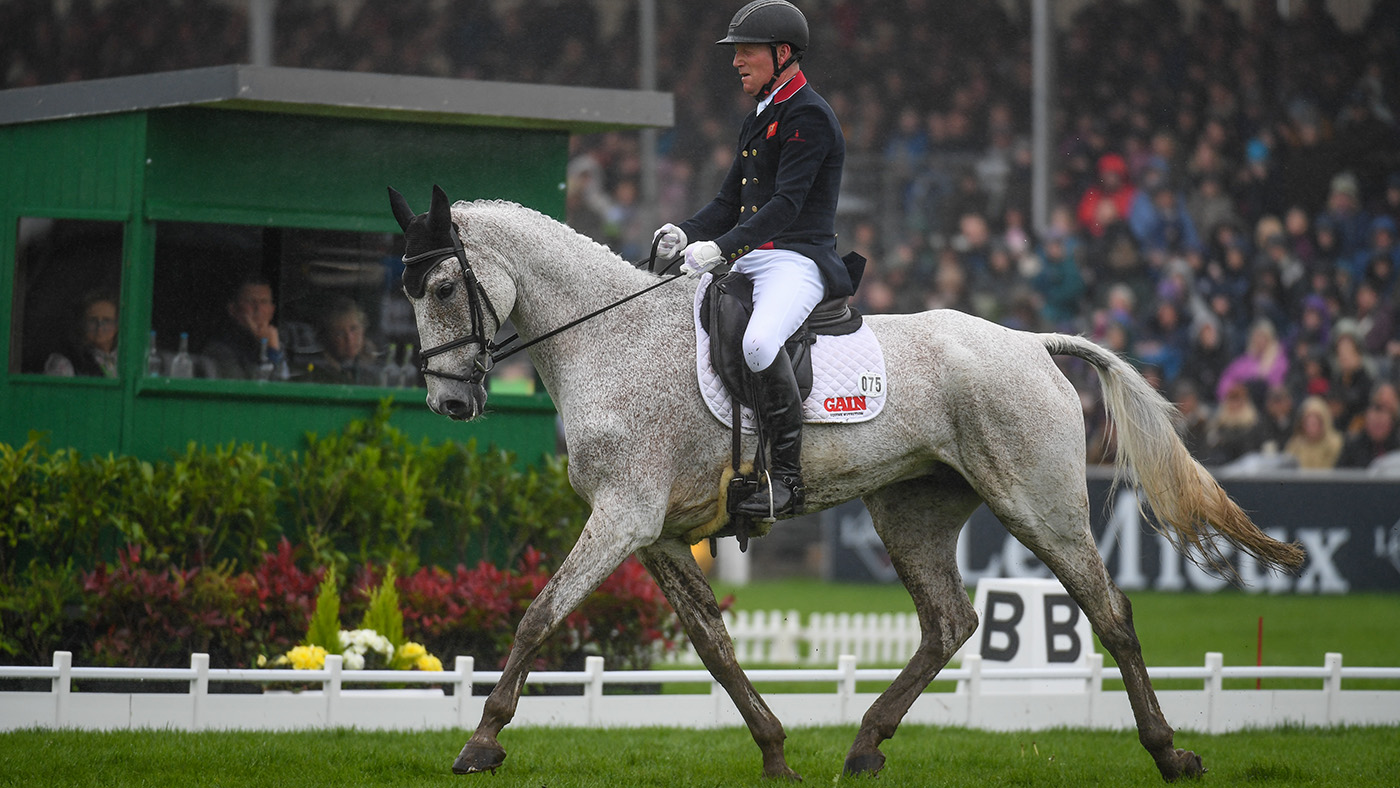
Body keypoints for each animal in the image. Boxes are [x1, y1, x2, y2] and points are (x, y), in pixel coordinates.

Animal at [387, 185, 1305, 782]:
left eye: (443, 286)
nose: (450, 402)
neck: (611, 339)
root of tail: (1030, 342)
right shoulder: (656, 533)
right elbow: (713, 645)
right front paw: (774, 751)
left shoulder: (622, 518)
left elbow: (539, 616)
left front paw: (480, 743)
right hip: (911, 511)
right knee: (950, 622)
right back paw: (864, 746)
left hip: (1038, 503)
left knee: (1109, 615)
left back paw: (1170, 753)